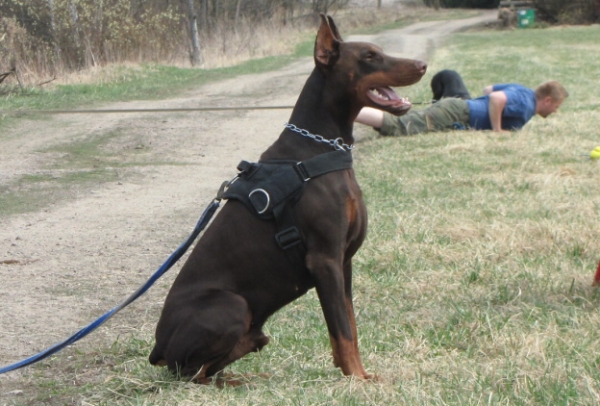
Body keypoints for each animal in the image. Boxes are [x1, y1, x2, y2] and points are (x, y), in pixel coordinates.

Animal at [149, 14, 426, 382]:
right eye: (369, 56)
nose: (422, 65)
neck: (320, 148)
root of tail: (157, 347)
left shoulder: (343, 261)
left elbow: (348, 325)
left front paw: (357, 373)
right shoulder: (324, 259)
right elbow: (343, 328)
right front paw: (356, 378)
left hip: (254, 331)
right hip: (232, 306)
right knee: (188, 373)